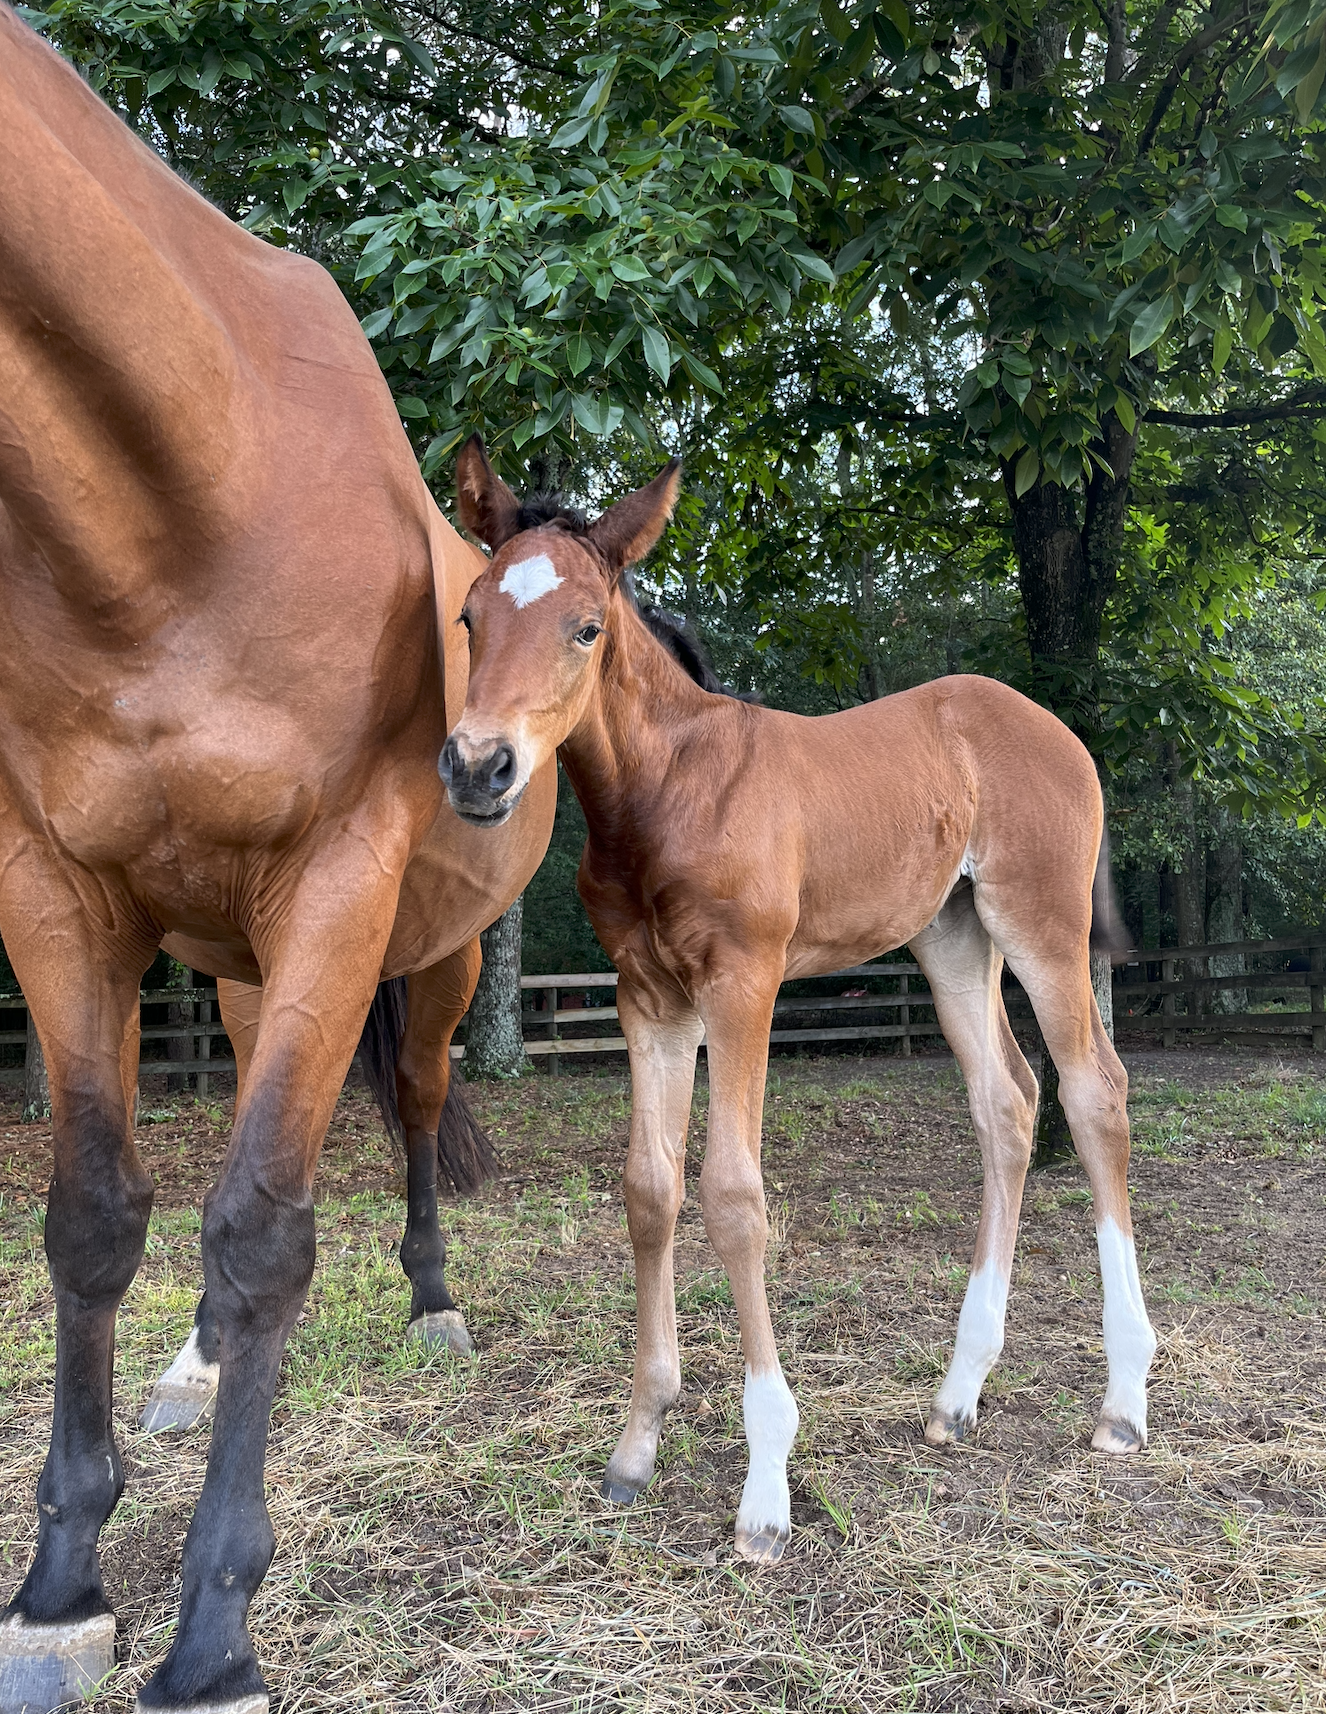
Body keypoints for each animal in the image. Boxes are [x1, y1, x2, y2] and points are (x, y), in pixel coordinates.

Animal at [0, 19, 552, 1714]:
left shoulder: (335, 888)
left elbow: (264, 1232)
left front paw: (212, 1634)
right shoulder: (57, 898)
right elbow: (94, 1216)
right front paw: (60, 1585)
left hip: (428, 965)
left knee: (417, 1111)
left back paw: (433, 1301)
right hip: (236, 968)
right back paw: (188, 1363)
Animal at [438, 437, 1157, 1565]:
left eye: (586, 626)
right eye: (470, 616)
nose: (478, 768)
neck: (667, 793)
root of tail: (1057, 730)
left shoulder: (745, 985)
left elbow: (735, 1197)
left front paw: (766, 1489)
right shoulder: (648, 998)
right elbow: (650, 1190)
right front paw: (637, 1444)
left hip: (1039, 928)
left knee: (1095, 1095)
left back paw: (1124, 1400)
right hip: (952, 940)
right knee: (1008, 1102)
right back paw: (958, 1394)